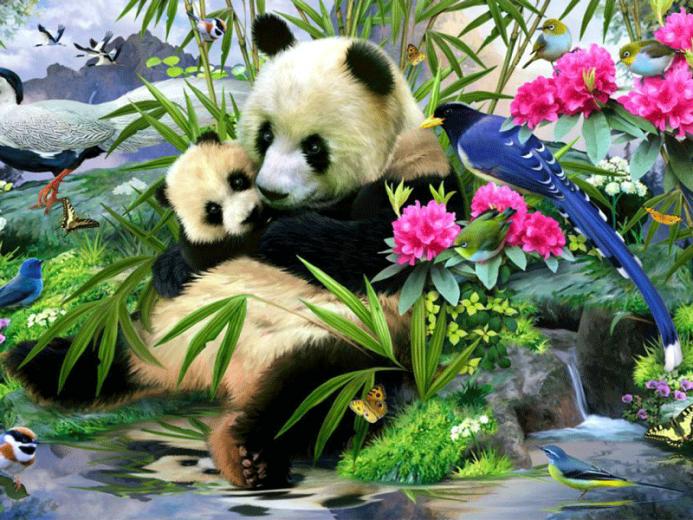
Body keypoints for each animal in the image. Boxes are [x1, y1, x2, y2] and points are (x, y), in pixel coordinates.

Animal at [5, 14, 458, 489]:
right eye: (265, 134)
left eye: (314, 146)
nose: (271, 191)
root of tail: (209, 369)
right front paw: (172, 266)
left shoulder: (420, 180)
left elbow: (384, 253)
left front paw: (285, 236)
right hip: (153, 323)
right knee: (107, 346)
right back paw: (35, 362)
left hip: (340, 334)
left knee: (311, 393)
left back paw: (249, 453)